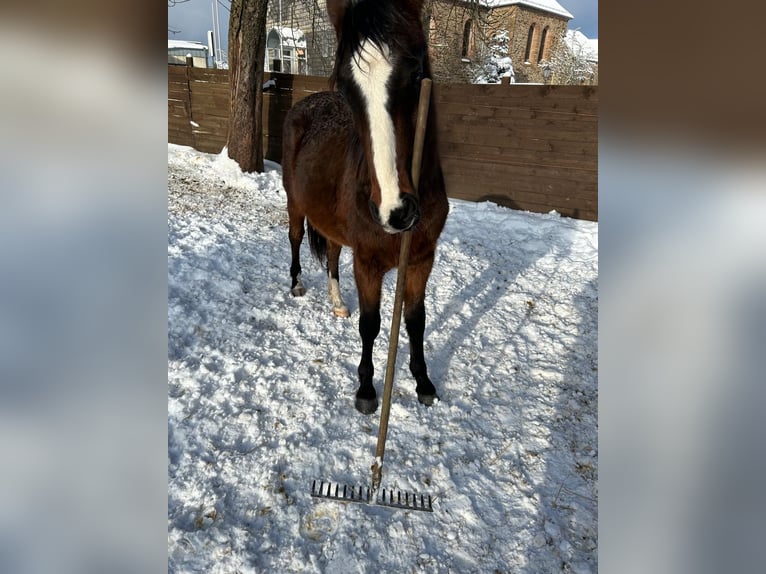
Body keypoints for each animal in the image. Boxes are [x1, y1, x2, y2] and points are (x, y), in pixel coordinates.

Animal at [282, 0, 450, 414]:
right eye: (346, 86)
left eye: (417, 72)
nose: (395, 211)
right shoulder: (368, 262)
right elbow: (371, 323)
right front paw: (365, 390)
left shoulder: (421, 259)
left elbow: (416, 320)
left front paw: (423, 383)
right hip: (295, 203)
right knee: (294, 238)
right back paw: (296, 284)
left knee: (331, 255)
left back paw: (338, 302)